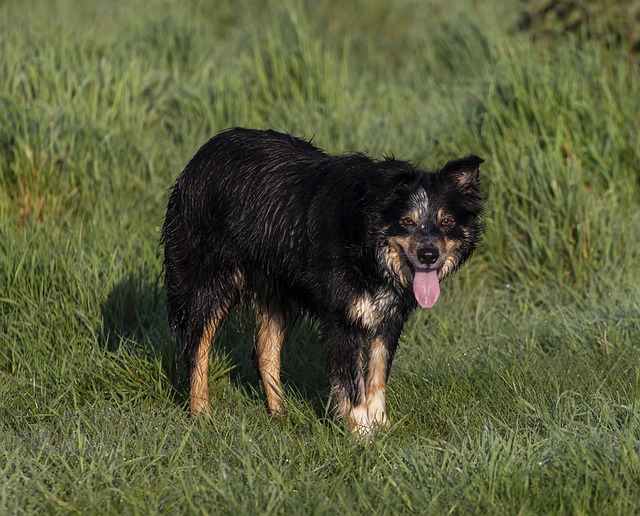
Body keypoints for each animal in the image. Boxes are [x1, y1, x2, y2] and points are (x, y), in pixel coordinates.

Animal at [161, 127, 484, 434]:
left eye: (447, 221)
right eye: (406, 221)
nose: (428, 255)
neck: (366, 244)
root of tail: (205, 152)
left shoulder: (387, 318)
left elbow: (377, 375)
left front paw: (383, 427)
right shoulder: (341, 319)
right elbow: (353, 386)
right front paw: (363, 436)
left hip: (278, 290)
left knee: (264, 351)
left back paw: (281, 414)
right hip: (211, 280)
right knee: (197, 348)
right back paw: (201, 414)